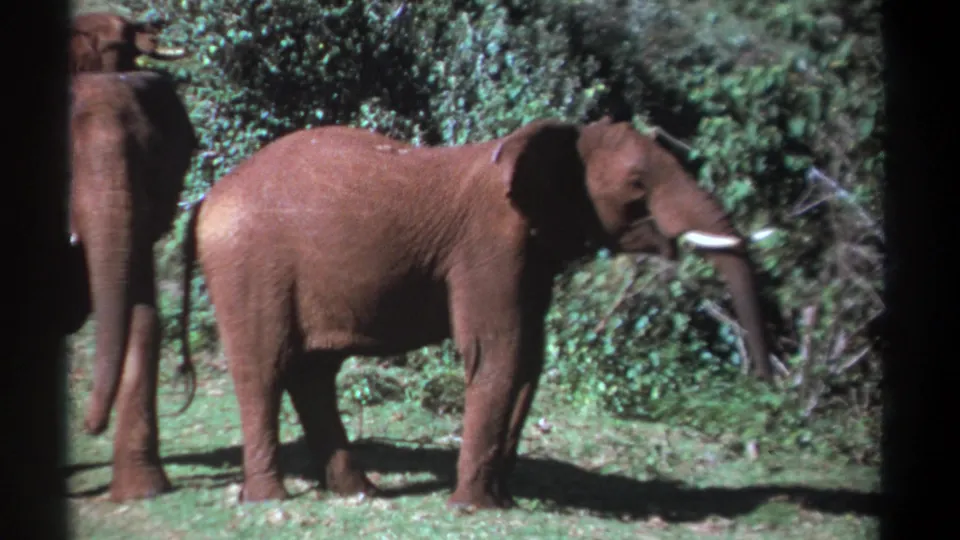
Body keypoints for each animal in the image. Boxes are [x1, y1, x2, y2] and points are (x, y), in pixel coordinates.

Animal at [177, 116, 775, 510]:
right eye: (636, 184)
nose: (764, 384)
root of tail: (206, 199)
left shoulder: (531, 254)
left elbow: (528, 358)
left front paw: (500, 501)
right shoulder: (489, 245)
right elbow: (497, 353)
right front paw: (472, 508)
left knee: (313, 373)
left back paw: (361, 493)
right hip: (248, 264)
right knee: (265, 369)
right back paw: (268, 500)